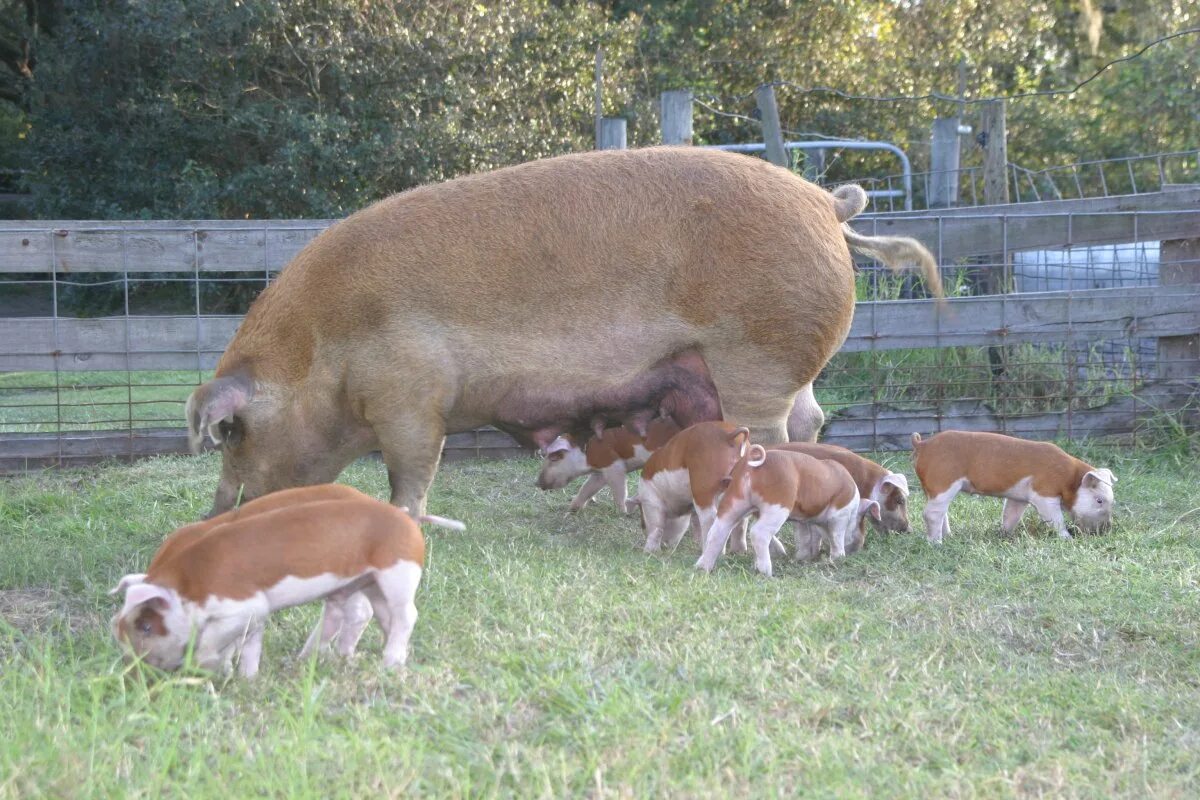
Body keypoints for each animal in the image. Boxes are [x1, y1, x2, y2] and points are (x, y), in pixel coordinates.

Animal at [187, 146, 936, 515]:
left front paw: (411, 519)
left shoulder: (412, 396)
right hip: (780, 367)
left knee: (776, 437)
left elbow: (411, 472)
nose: (216, 511)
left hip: (756, 354)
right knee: (813, 418)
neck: (319, 351)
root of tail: (826, 204)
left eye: (234, 432)